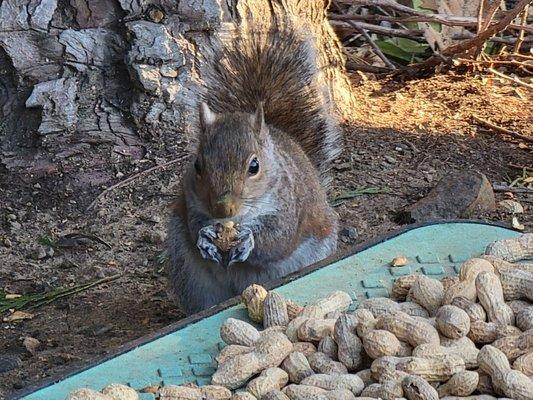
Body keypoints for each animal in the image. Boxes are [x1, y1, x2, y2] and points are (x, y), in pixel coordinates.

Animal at [166, 23, 340, 316]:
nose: (222, 210)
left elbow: (278, 239)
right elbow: (194, 224)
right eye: (197, 165)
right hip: (191, 277)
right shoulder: (190, 200)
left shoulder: (290, 206)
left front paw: (249, 239)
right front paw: (204, 238)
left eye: (254, 166)